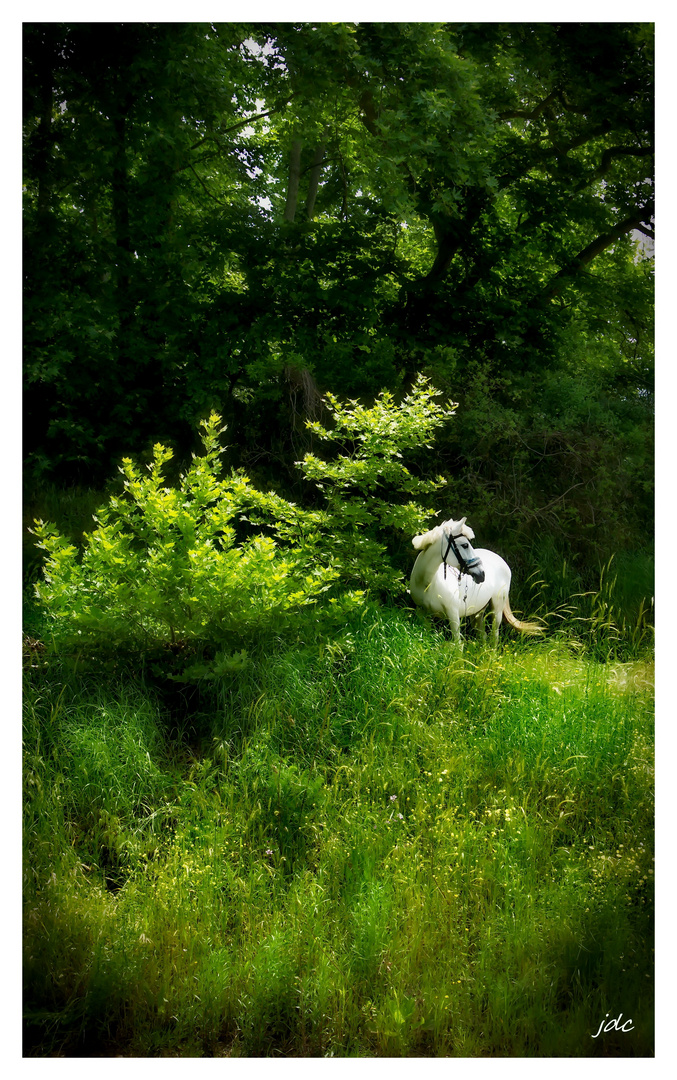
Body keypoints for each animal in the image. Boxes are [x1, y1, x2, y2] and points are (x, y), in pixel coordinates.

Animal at [410, 516, 542, 643]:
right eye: (465, 545)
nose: (481, 574)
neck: (427, 584)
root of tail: (501, 560)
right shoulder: (423, 614)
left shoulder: (453, 615)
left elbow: (457, 644)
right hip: (478, 611)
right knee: (482, 635)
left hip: (497, 609)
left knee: (494, 636)